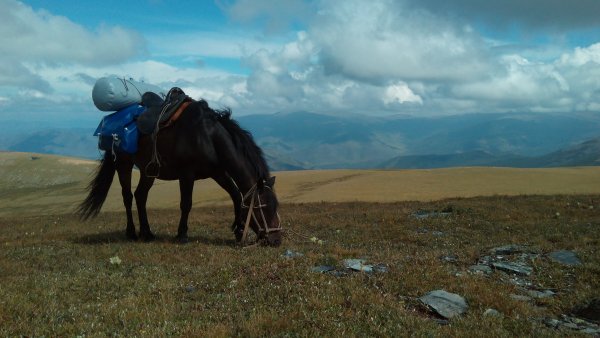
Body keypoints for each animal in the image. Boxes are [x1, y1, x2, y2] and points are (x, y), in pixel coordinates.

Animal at [78, 99, 284, 247]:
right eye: (265, 208)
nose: (276, 241)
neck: (208, 137)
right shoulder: (187, 174)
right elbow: (186, 204)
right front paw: (182, 234)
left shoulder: (218, 172)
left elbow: (235, 195)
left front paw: (239, 229)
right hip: (123, 164)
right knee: (127, 196)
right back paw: (132, 233)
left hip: (148, 170)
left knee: (140, 195)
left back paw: (147, 233)